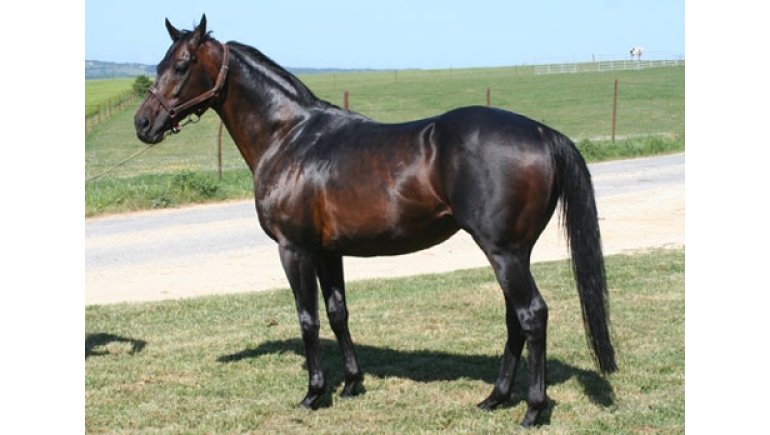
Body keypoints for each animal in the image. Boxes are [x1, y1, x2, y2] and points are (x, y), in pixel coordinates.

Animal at [135, 15, 616, 427]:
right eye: (159, 65)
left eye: (182, 65)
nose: (143, 123)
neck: (290, 137)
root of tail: (541, 132)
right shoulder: (327, 252)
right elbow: (337, 312)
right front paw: (351, 384)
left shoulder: (294, 249)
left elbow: (308, 318)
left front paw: (314, 393)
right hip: (514, 253)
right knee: (514, 318)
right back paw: (494, 398)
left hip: (504, 253)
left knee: (531, 315)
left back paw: (532, 410)